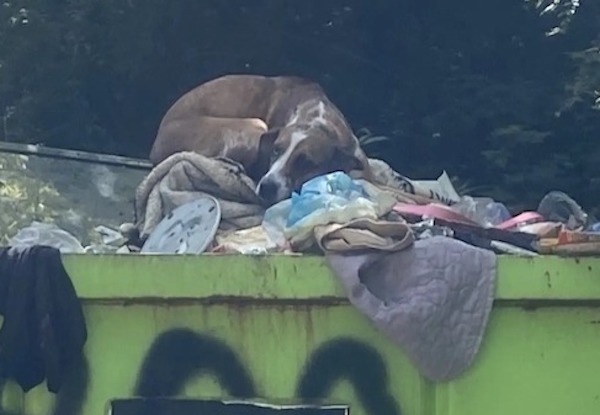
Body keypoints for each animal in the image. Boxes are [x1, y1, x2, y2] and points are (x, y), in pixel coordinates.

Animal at [148, 74, 372, 206]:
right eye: (275, 150)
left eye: (305, 162)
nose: (266, 187)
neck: (318, 121)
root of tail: (156, 144)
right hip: (253, 124)